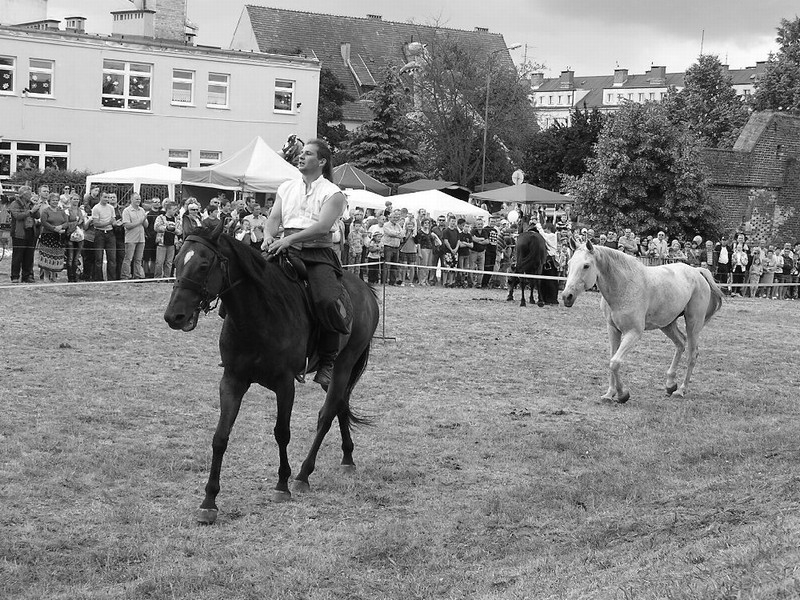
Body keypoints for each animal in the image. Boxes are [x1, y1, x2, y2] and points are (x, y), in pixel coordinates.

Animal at [163, 223, 382, 524]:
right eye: (176, 261)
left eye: (204, 264)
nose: (174, 316)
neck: (259, 314)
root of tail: (365, 288)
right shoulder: (232, 381)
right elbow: (220, 437)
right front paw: (209, 501)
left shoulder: (284, 384)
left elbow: (282, 432)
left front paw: (282, 485)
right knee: (340, 404)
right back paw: (347, 458)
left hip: (344, 364)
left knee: (327, 414)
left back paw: (303, 475)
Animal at [560, 241, 720, 406]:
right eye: (569, 263)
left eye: (586, 265)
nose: (566, 296)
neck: (624, 286)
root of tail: (697, 272)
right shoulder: (613, 329)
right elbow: (611, 360)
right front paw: (609, 394)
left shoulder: (634, 332)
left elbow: (615, 362)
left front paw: (622, 395)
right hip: (667, 324)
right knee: (680, 343)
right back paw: (670, 385)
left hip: (693, 323)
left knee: (692, 355)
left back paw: (680, 390)